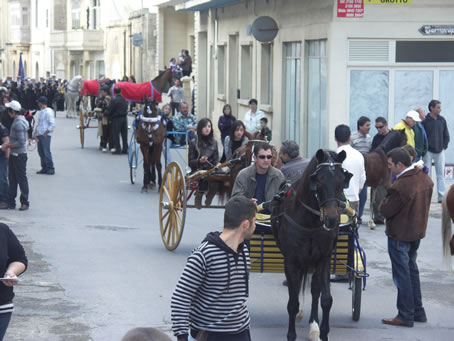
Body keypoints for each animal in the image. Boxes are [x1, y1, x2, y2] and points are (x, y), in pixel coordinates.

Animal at [272, 149, 352, 340]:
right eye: (318, 180)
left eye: (341, 180)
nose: (332, 219)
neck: (309, 222)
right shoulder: (291, 261)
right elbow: (293, 301)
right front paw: (291, 334)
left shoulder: (323, 258)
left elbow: (326, 299)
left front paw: (323, 332)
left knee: (315, 290)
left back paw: (313, 324)